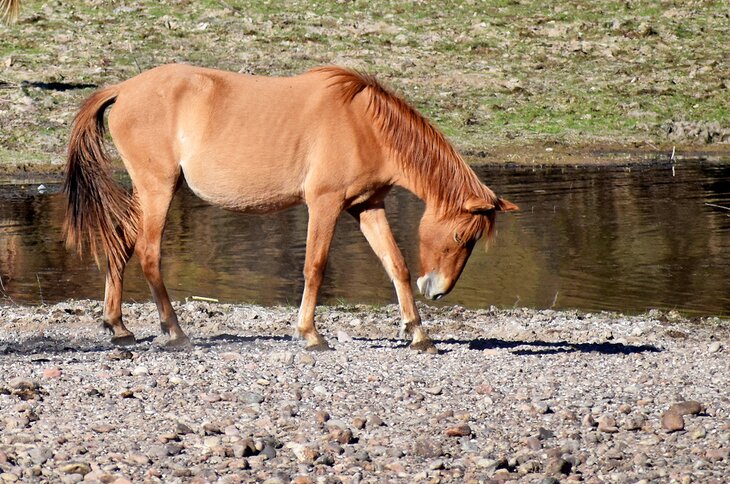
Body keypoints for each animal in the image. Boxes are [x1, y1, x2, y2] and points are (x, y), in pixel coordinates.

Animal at [64, 63, 516, 352]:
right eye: (461, 235)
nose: (437, 291)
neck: (365, 124)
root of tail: (123, 89)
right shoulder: (325, 204)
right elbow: (314, 266)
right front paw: (311, 334)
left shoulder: (367, 207)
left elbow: (396, 265)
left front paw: (419, 334)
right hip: (157, 188)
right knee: (148, 253)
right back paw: (174, 331)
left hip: (153, 191)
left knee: (121, 243)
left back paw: (118, 326)